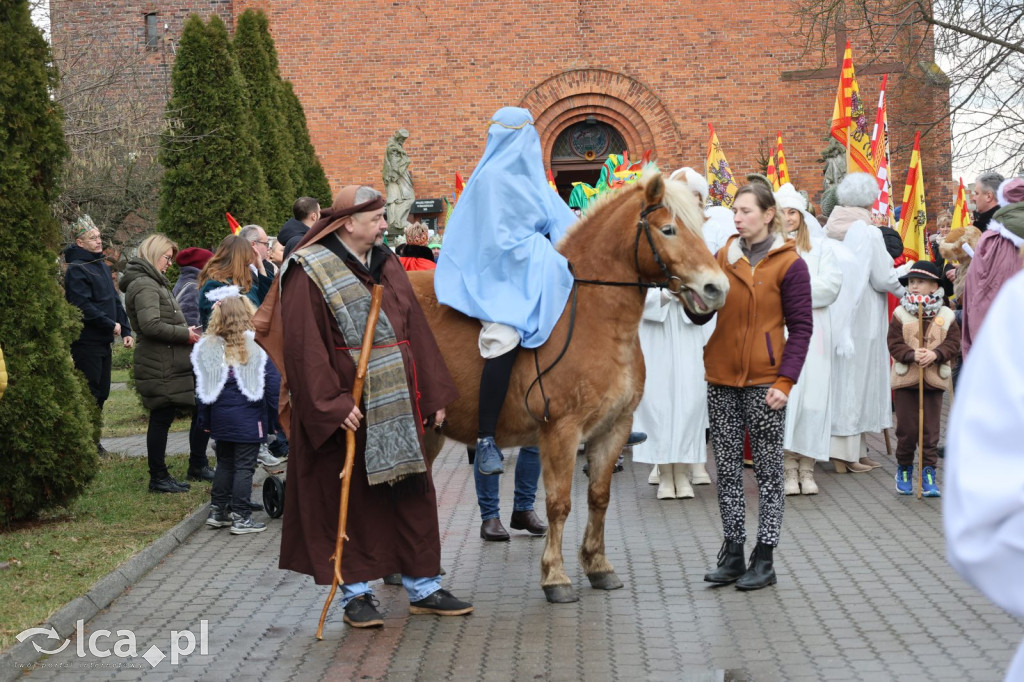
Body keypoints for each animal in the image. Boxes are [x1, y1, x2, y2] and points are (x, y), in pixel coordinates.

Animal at [407, 173, 729, 602]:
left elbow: (599, 497)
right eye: (668, 230)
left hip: (429, 431)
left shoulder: (613, 429)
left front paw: (598, 565)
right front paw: (556, 576)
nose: (716, 288)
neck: (596, 319)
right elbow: (560, 503)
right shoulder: (561, 431)